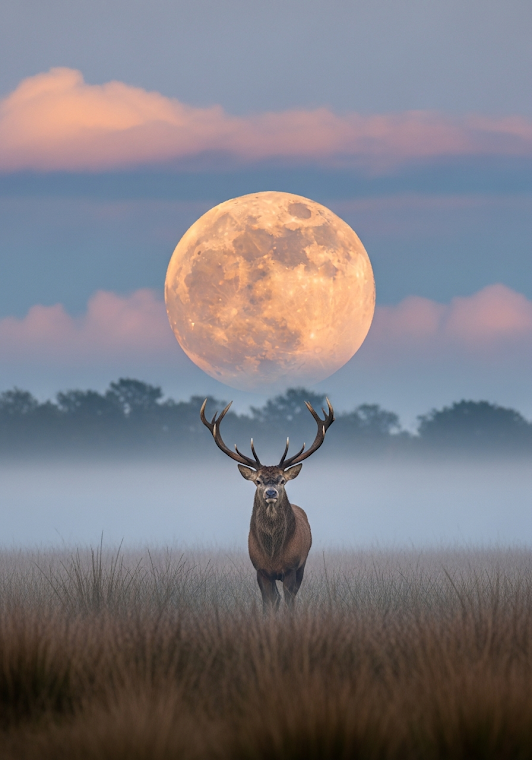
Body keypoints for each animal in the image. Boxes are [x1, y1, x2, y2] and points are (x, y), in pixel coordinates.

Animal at [200, 397, 334, 611]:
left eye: (282, 480)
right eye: (258, 481)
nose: (271, 492)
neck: (273, 555)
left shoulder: (291, 567)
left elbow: (289, 603)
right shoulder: (260, 570)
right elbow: (268, 603)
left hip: (302, 565)